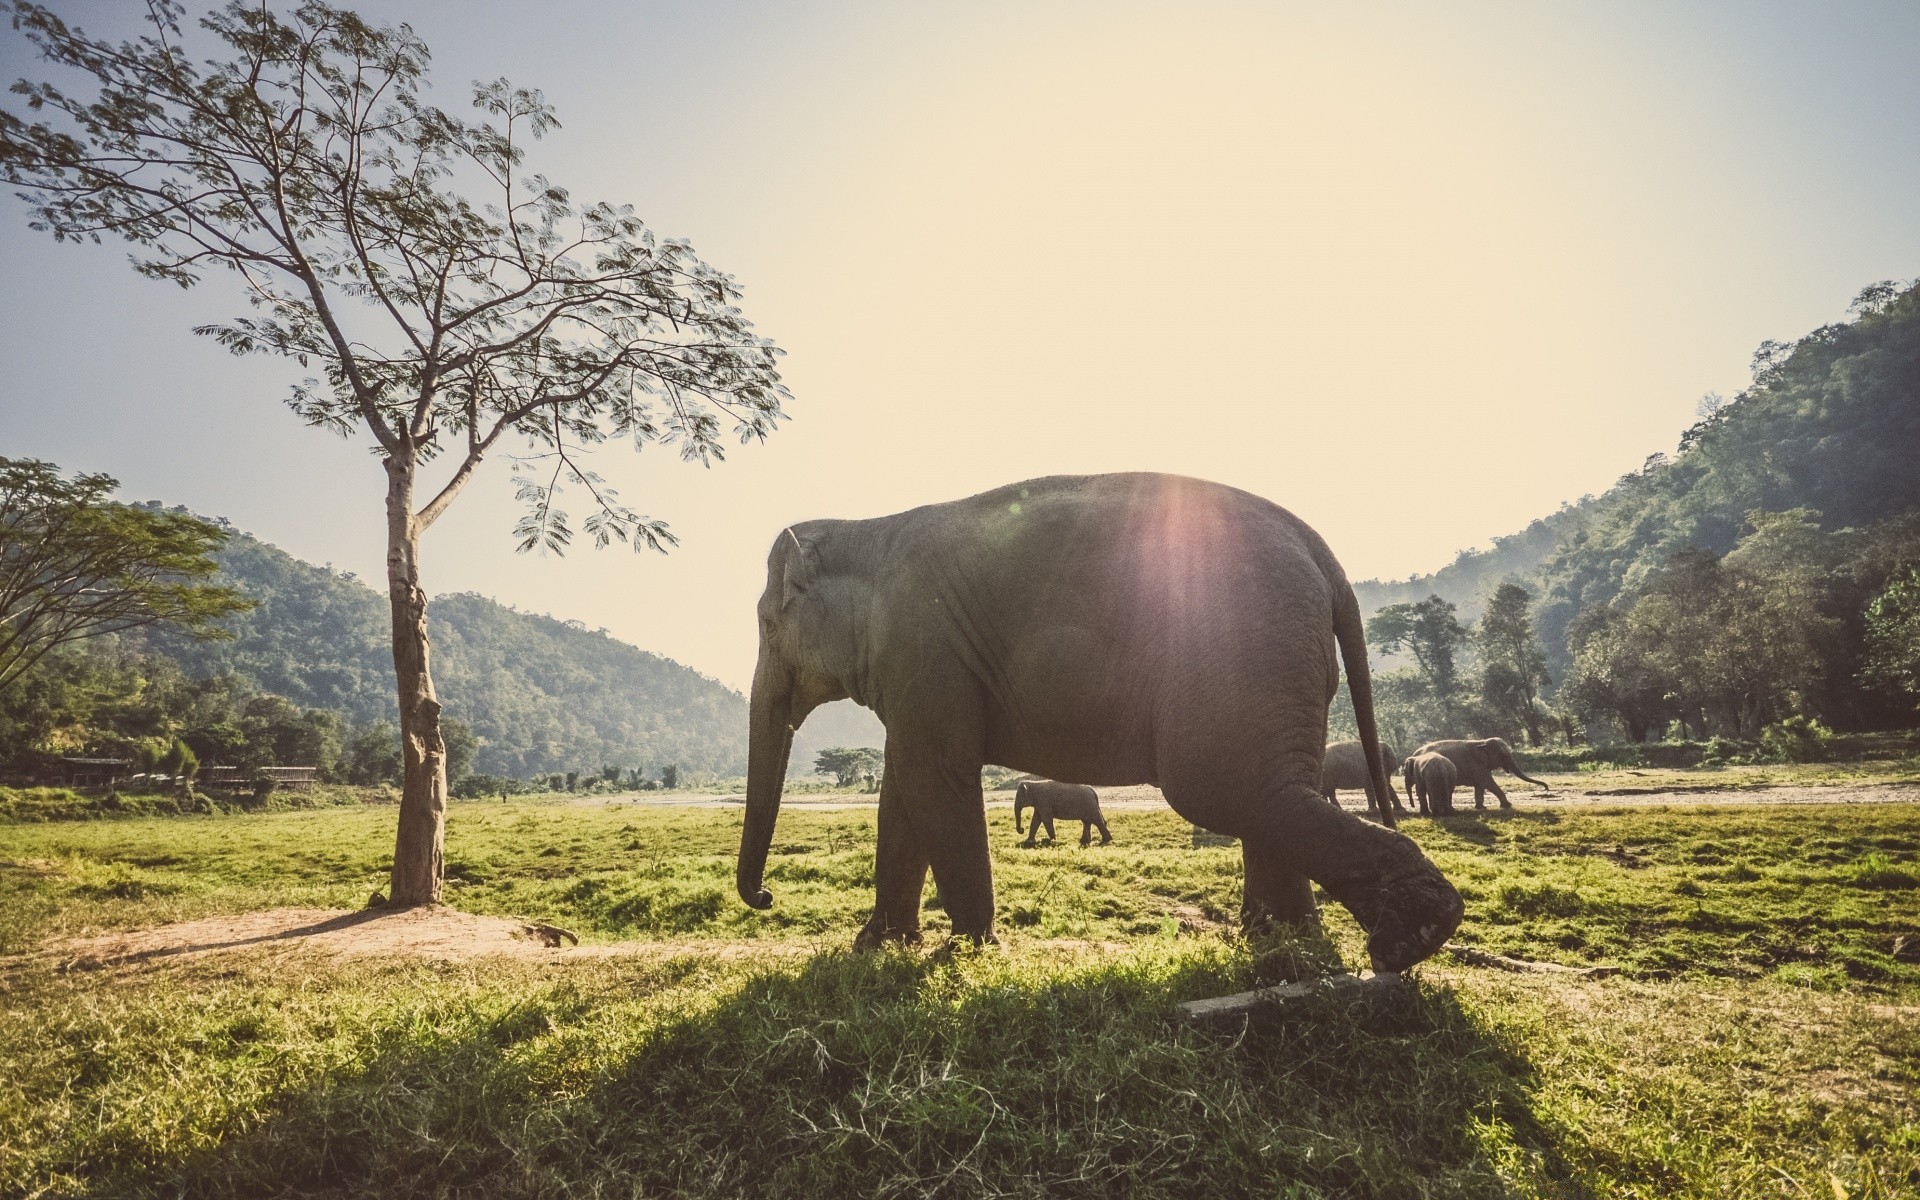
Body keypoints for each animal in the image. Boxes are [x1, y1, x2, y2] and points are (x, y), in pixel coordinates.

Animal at [729, 470, 1451, 975]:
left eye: (765, 621)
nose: (764, 898)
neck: (865, 529)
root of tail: (1325, 556)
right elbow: (904, 789)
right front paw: (879, 946)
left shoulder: (924, 650)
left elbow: (936, 776)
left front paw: (967, 951)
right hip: (1280, 667)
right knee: (1268, 788)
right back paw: (1283, 945)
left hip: (1247, 652)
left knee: (1224, 785)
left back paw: (1410, 938)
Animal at [1420, 733, 1551, 810]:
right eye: (1502, 754)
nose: (1546, 788)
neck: (1482, 742)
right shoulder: (1477, 765)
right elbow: (1487, 782)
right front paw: (1508, 805)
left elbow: (1480, 786)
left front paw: (1481, 807)